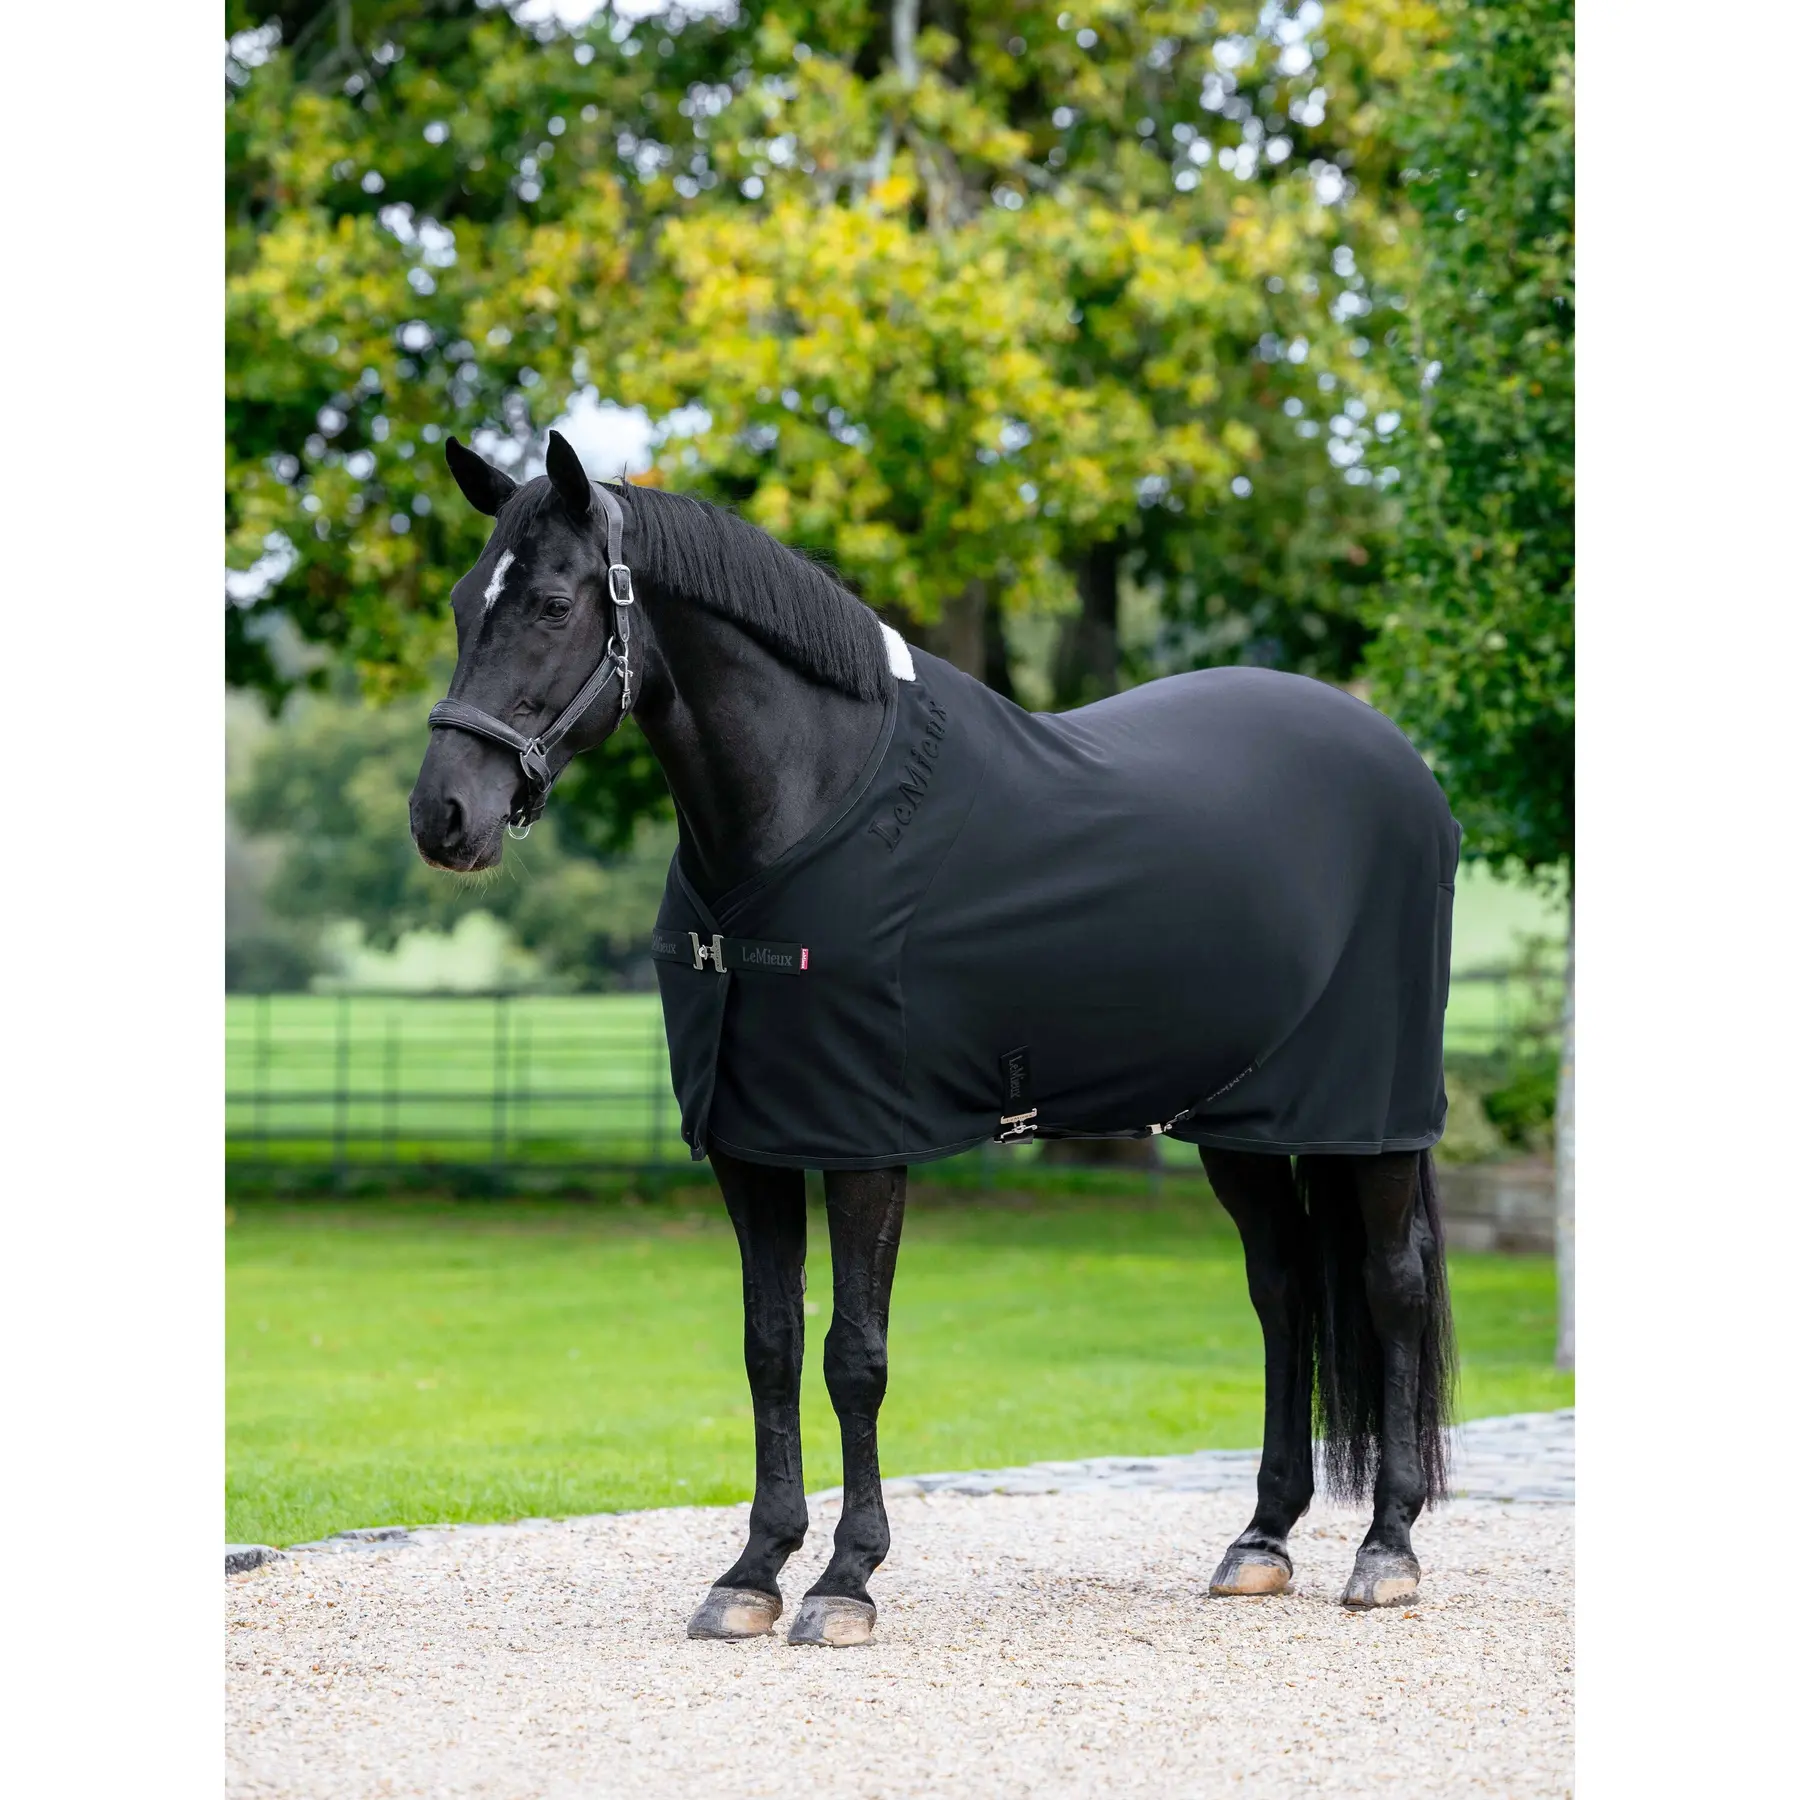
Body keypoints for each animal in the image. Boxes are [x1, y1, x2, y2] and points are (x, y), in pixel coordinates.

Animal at [410, 429, 1460, 1648]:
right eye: (459, 603)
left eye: (550, 603)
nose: (443, 818)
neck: (809, 812)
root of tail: (1400, 762)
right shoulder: (751, 1146)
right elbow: (770, 1347)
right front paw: (753, 1570)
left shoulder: (867, 1143)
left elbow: (852, 1356)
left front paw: (845, 1580)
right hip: (1235, 1120)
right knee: (1283, 1287)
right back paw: (1262, 1538)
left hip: (1369, 1120)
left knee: (1391, 1286)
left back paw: (1388, 1549)